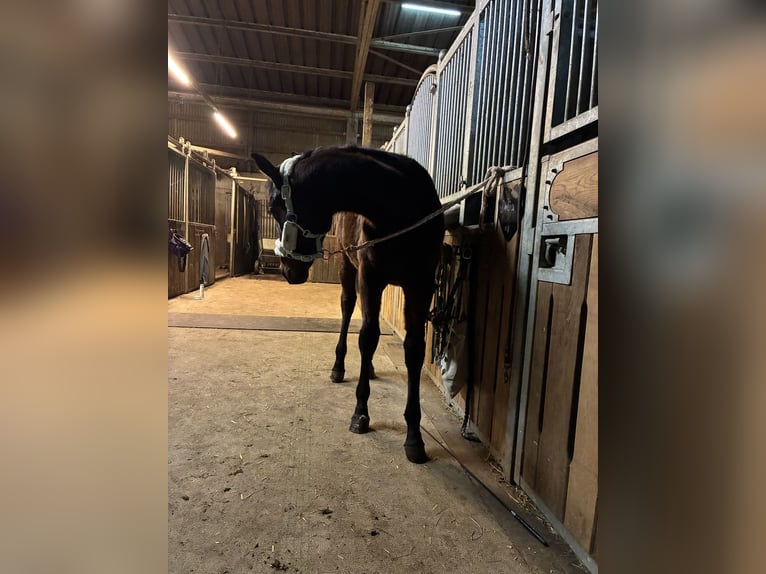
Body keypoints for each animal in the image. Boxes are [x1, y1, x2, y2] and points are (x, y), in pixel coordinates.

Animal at [251, 146, 445, 463]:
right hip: (348, 268)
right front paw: (360, 414)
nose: (288, 271)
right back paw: (338, 367)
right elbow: (367, 337)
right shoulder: (369, 278)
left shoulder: (421, 285)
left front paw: (415, 435)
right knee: (347, 308)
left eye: (272, 207)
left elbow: (414, 349)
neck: (400, 207)